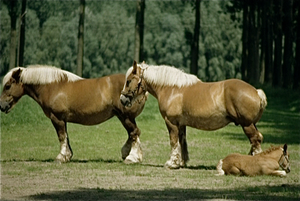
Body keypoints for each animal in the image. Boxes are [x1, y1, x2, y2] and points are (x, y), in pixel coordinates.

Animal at [0, 66, 146, 163]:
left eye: (7, 86)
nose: (1, 106)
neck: (53, 87)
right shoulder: (62, 119)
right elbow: (66, 137)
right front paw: (68, 156)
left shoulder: (56, 118)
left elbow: (61, 136)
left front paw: (61, 157)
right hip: (124, 117)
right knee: (133, 134)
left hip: (125, 117)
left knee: (134, 133)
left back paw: (132, 157)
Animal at [119, 60, 268, 168]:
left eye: (128, 81)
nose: (122, 99)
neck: (171, 89)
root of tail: (256, 92)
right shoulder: (181, 124)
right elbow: (182, 141)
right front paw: (181, 162)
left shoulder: (171, 122)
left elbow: (173, 141)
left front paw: (171, 163)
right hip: (251, 124)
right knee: (256, 139)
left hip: (247, 124)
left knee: (255, 139)